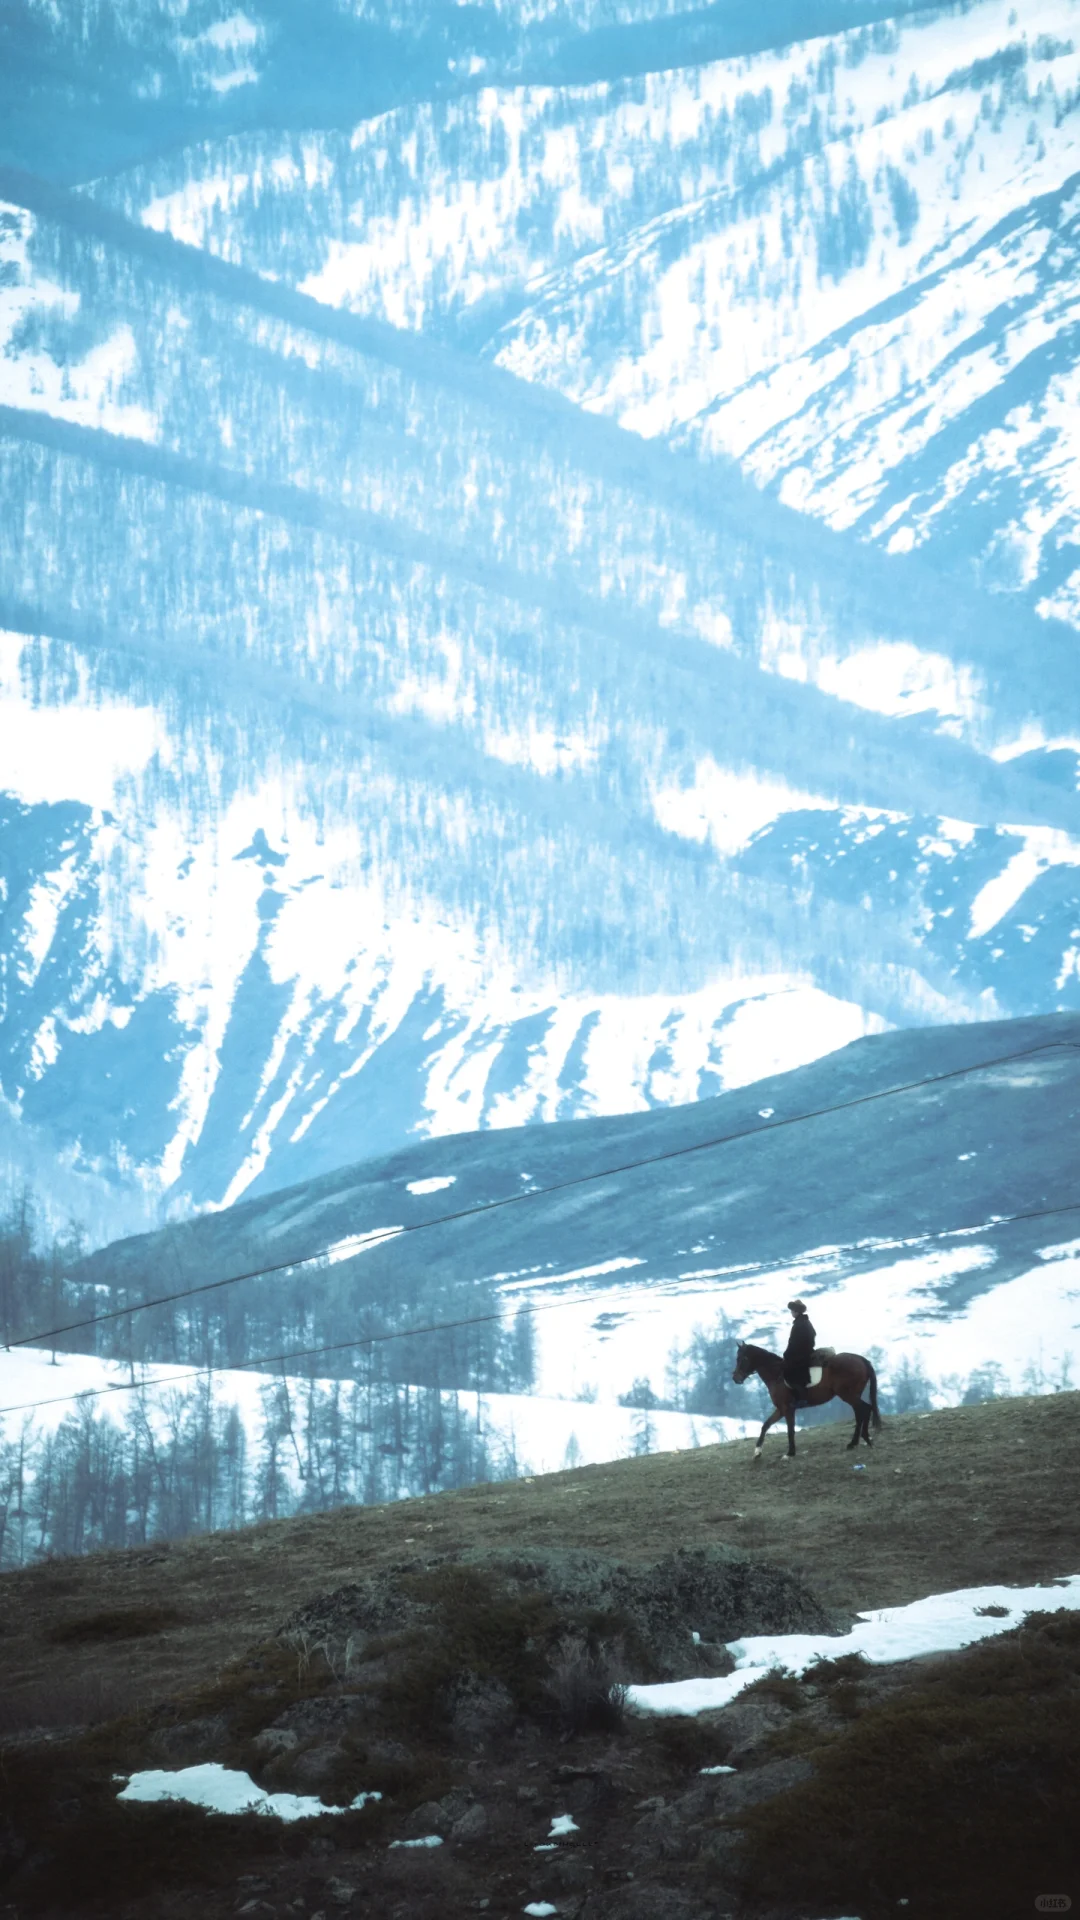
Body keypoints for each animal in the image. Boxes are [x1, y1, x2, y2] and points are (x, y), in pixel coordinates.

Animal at [726, 1344, 880, 1459]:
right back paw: (853, 1443)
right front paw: (757, 1452)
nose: (736, 1378)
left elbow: (790, 1430)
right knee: (860, 1413)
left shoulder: (787, 1409)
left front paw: (790, 1453)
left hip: (848, 1395)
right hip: (852, 1395)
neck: (777, 1375)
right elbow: (765, 1425)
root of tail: (860, 1359)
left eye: (743, 1358)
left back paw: (865, 1439)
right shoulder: (781, 1409)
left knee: (865, 1409)